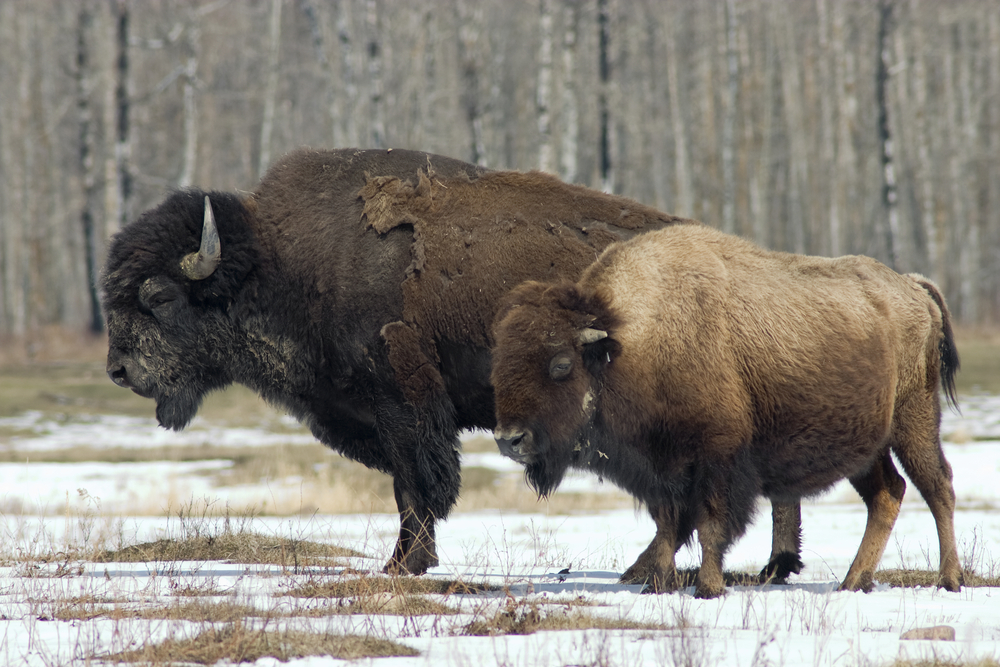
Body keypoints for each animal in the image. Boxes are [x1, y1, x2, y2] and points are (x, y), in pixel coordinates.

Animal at [103, 146, 696, 576]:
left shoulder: (404, 405)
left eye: (159, 296)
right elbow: (405, 489)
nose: (118, 371)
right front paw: (407, 561)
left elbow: (418, 485)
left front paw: (404, 564)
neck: (282, 266)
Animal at [490, 224, 960, 600]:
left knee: (937, 488)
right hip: (866, 446)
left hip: (913, 422)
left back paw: (949, 580)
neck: (630, 339)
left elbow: (710, 525)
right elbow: (667, 527)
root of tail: (914, 288)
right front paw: (658, 586)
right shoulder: (661, 469)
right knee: (888, 493)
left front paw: (708, 588)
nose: (509, 439)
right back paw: (853, 582)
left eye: (561, 365)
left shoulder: (717, 460)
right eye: (499, 364)